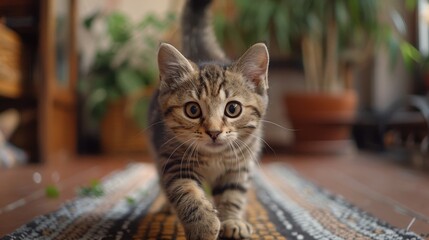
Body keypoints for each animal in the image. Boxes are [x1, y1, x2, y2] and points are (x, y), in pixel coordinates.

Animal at [147, 0, 268, 240]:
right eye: (193, 110)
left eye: (233, 109)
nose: (214, 132)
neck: (214, 157)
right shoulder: (173, 159)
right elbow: (187, 192)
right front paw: (203, 225)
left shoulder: (239, 165)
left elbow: (232, 193)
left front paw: (232, 220)